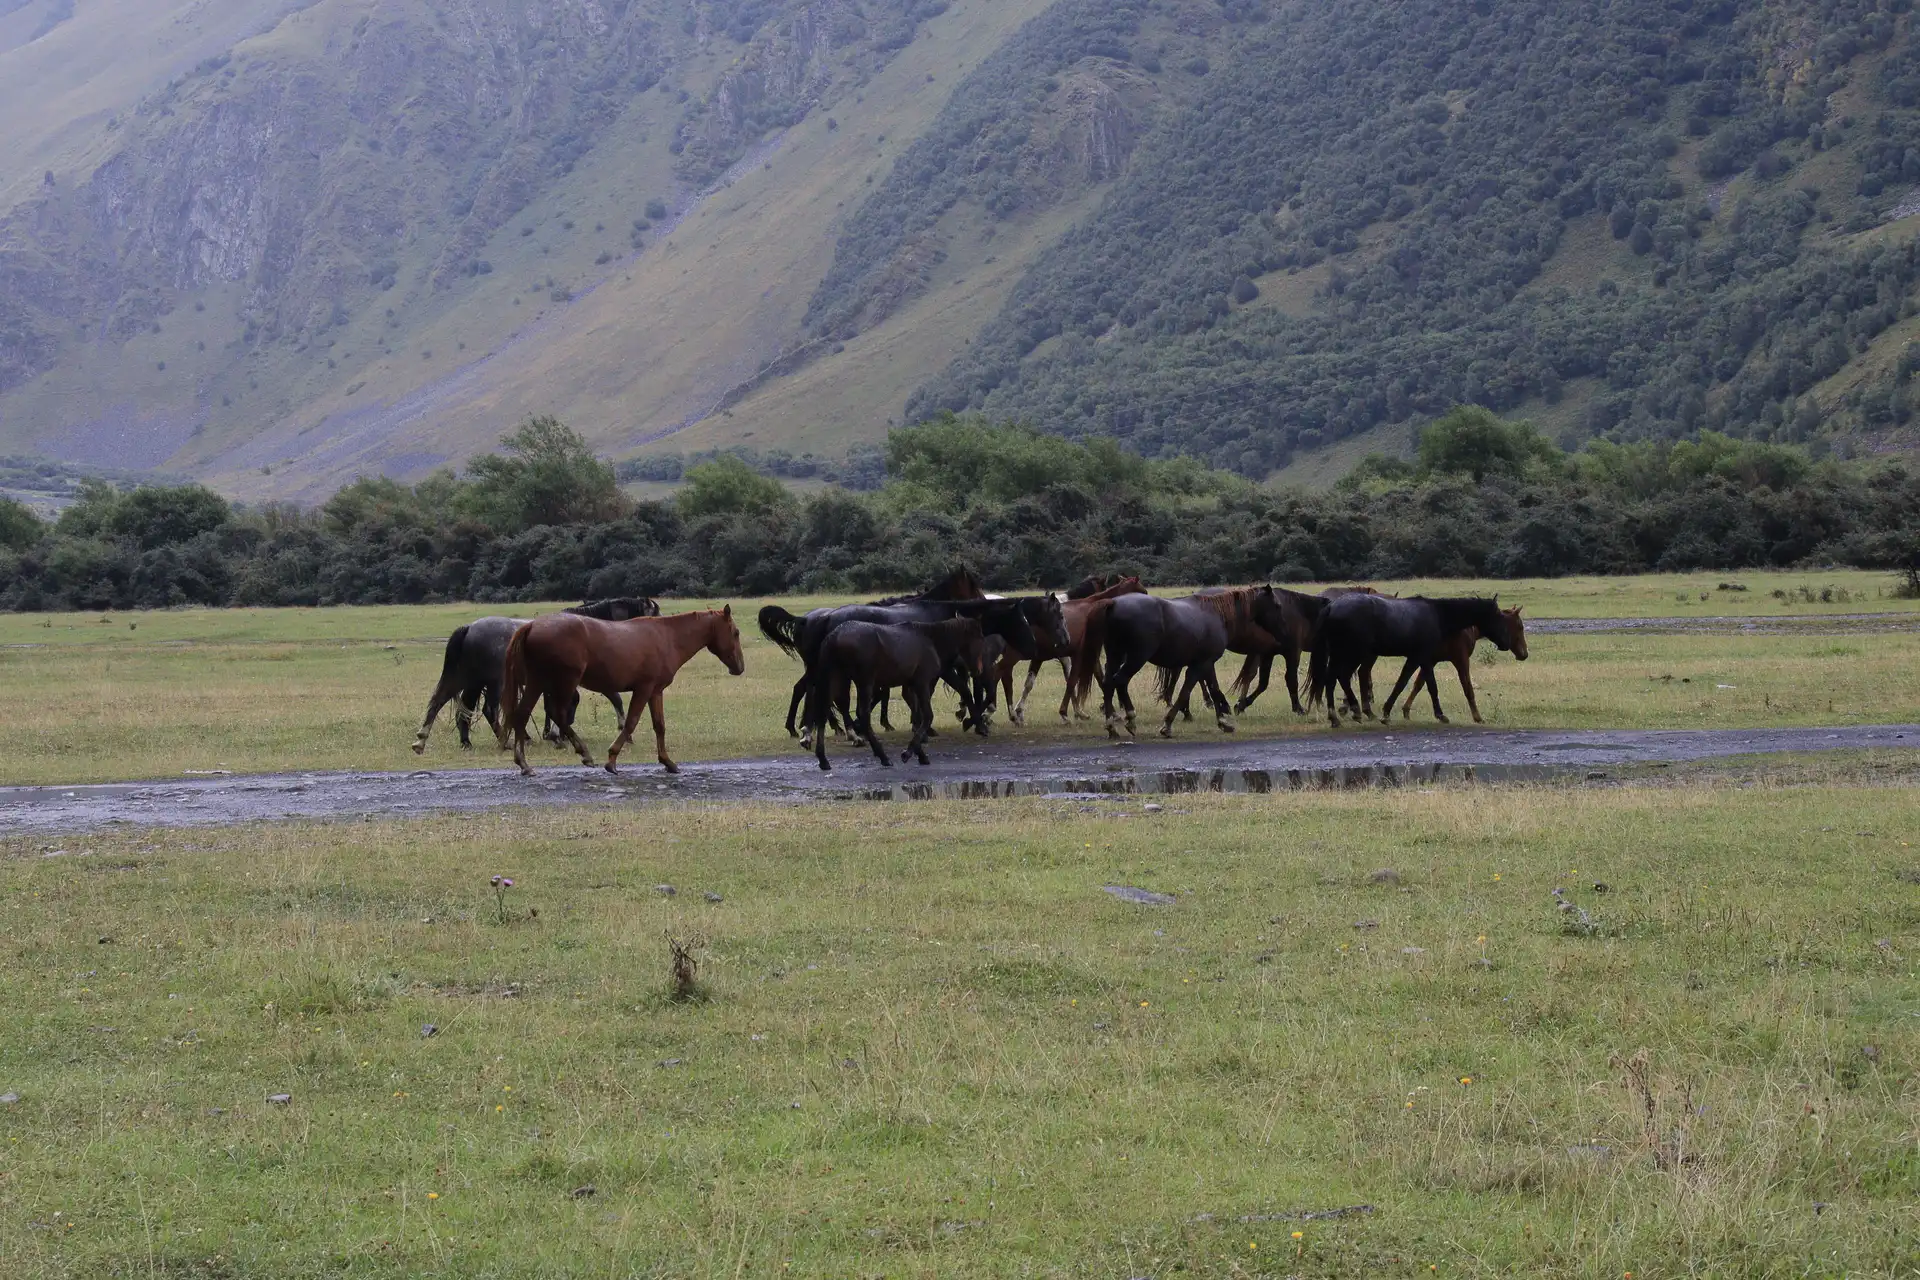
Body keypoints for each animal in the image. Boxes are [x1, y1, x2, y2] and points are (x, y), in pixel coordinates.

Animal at [412, 598, 660, 752]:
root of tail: (469, 628)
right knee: (488, 710)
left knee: (445, 704)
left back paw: (435, 741)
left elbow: (557, 706)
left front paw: (553, 734)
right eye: (656, 615)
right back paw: (505, 741)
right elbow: (606, 699)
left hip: (469, 680)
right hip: (494, 682)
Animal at [810, 617, 990, 771]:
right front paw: (908, 753)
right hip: (864, 683)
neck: (930, 640)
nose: (978, 670)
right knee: (863, 715)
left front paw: (920, 754)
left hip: (836, 680)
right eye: (980, 638)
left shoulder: (912, 686)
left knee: (823, 713)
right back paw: (883, 756)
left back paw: (823, 759)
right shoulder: (922, 683)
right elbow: (927, 716)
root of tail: (834, 636)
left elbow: (917, 717)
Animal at [998, 575, 1144, 725]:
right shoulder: (1076, 655)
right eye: (1141, 591)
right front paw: (1072, 712)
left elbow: (1032, 683)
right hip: (1013, 655)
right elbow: (1076, 680)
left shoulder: (1050, 657)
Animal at [1098, 594, 1244, 740]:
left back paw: (1112, 728)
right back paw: (1129, 720)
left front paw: (1223, 723)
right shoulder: (1198, 666)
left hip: (1115, 656)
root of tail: (1114, 603)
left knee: (1108, 684)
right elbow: (1185, 693)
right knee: (1120, 681)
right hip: (1136, 658)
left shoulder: (1207, 664)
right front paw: (1167, 726)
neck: (1216, 615)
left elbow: (1214, 689)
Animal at [1313, 594, 1520, 725]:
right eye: (1499, 618)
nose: (1506, 644)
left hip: (1348, 655)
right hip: (1350, 654)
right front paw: (1440, 715)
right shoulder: (1425, 658)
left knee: (1336, 679)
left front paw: (1386, 712)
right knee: (1336, 678)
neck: (1437, 615)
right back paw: (1343, 714)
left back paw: (1345, 714)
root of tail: (1332, 606)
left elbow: (1401, 683)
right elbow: (1431, 686)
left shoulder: (1414, 658)